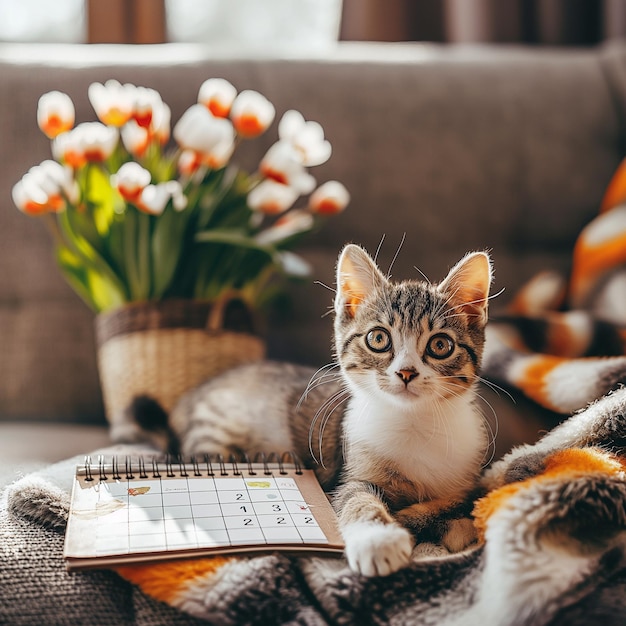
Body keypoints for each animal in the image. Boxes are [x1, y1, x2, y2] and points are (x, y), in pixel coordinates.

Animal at [134, 244, 490, 576]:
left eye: (440, 345)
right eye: (378, 339)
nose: (406, 372)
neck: (414, 421)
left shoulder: (468, 477)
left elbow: (457, 501)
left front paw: (433, 523)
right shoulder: (348, 472)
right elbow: (355, 497)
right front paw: (378, 539)